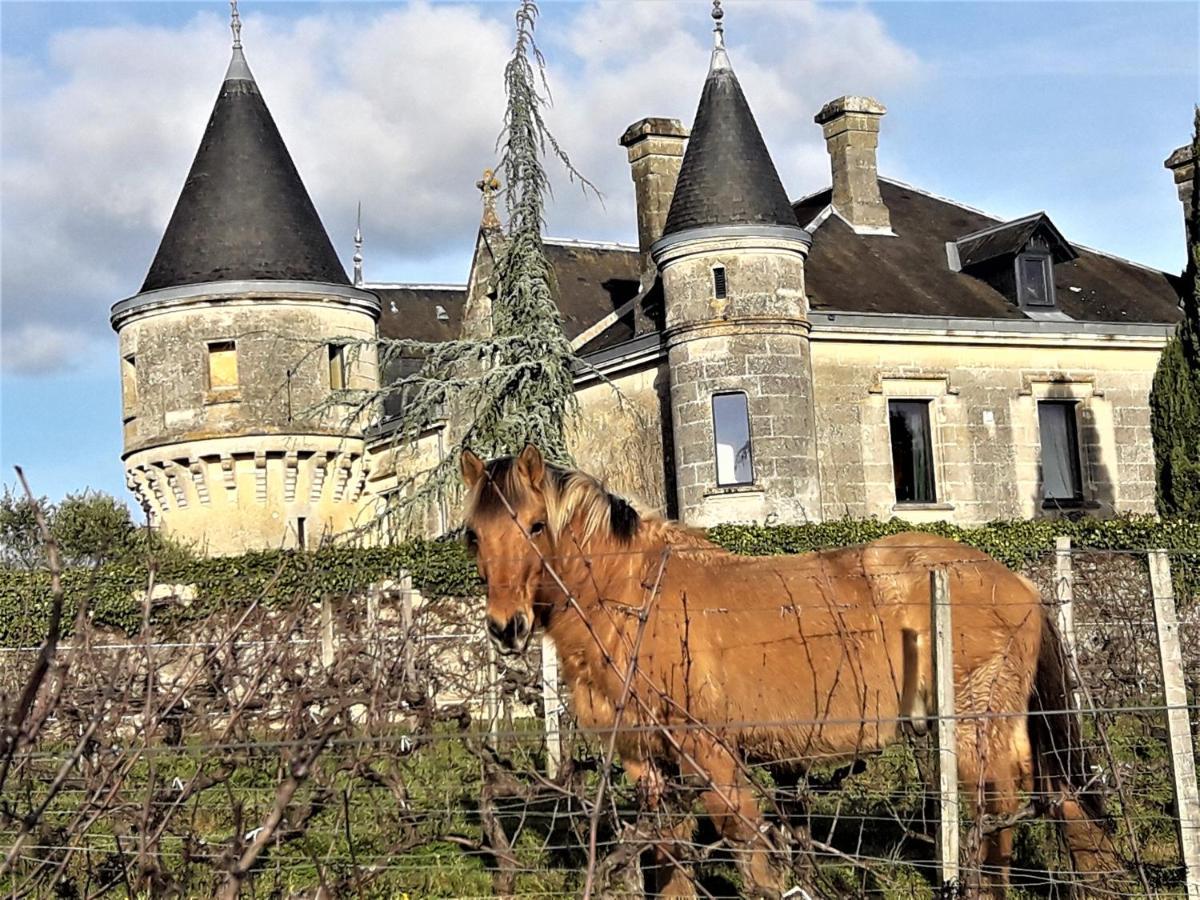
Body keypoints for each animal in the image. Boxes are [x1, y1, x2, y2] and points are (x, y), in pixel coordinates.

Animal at [458, 448, 1113, 897]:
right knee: (1060, 804)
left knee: (999, 816)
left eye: (536, 525)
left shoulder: (709, 752)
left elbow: (749, 850)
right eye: (473, 535)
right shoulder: (649, 763)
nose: (506, 627)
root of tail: (1018, 583)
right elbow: (669, 860)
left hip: (979, 730)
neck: (635, 598)